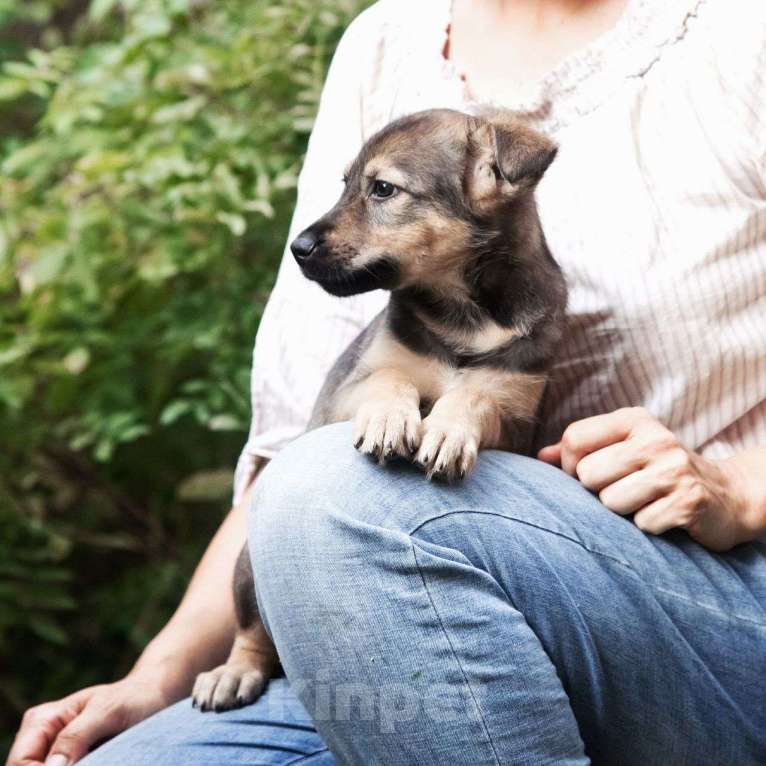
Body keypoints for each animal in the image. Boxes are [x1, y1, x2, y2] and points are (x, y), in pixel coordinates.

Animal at [194, 108, 568, 712]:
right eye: (344, 183)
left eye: (383, 190)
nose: (297, 247)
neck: (464, 311)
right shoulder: (352, 384)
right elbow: (392, 379)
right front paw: (394, 420)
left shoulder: (518, 415)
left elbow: (475, 395)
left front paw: (447, 430)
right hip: (249, 570)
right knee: (252, 631)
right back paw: (233, 673)